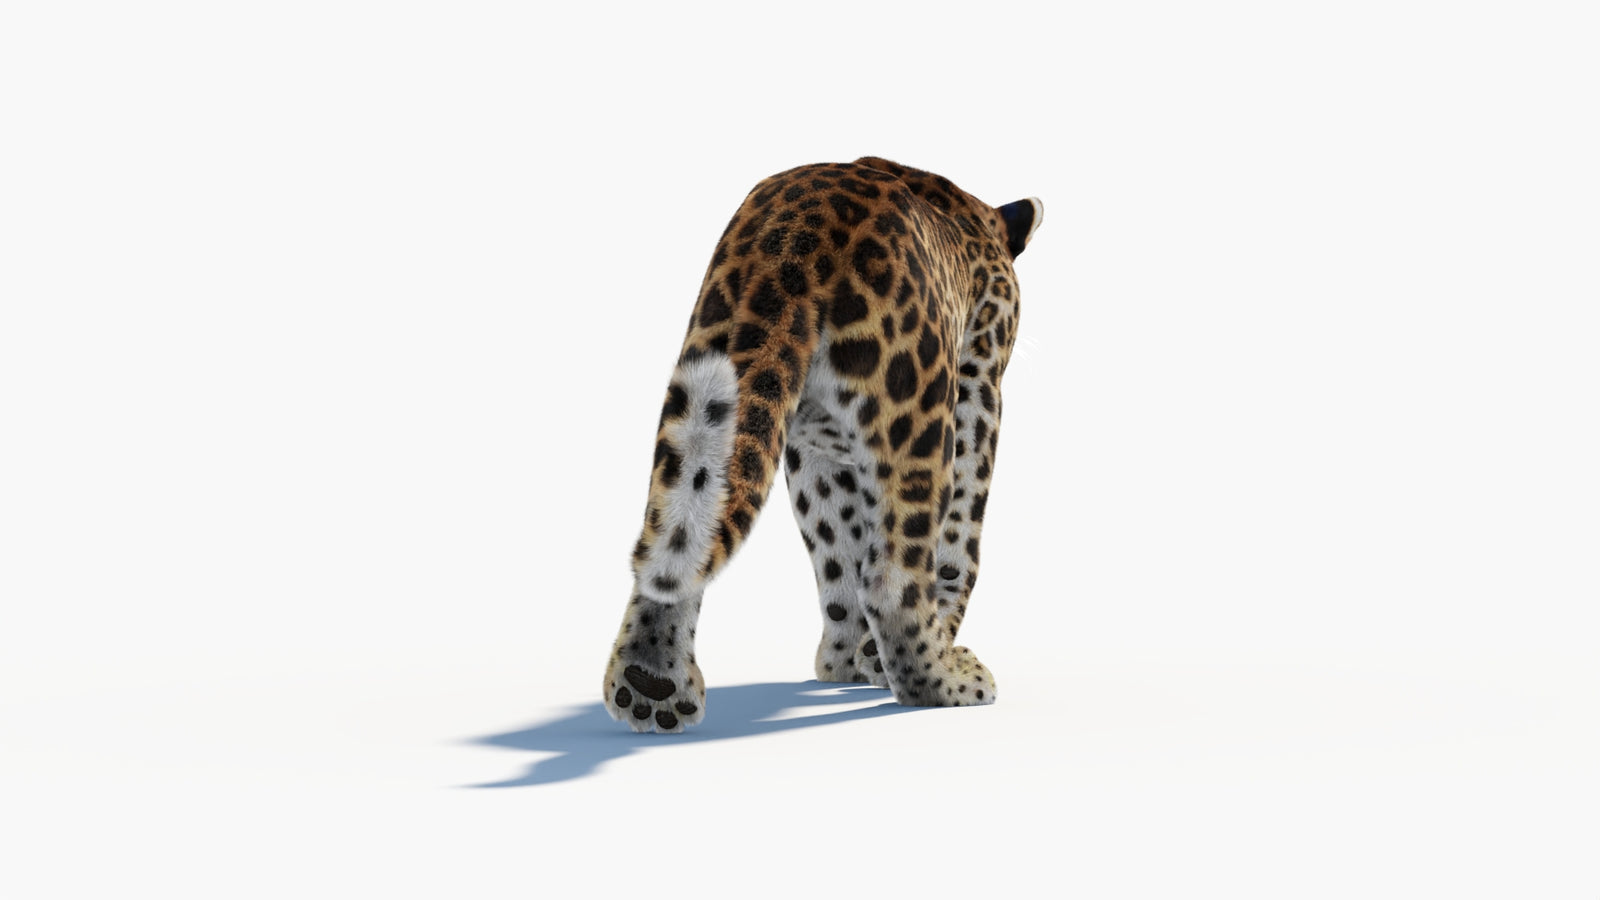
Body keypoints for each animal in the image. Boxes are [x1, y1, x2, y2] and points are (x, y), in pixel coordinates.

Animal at [602, 157, 1042, 733]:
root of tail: (797, 245)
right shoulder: (978, 387)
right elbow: (955, 548)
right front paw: (883, 659)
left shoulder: (815, 450)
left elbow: (839, 556)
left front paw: (850, 662)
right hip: (919, 412)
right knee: (891, 578)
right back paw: (941, 682)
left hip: (716, 376)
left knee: (677, 529)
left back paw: (649, 684)